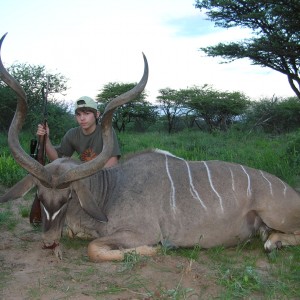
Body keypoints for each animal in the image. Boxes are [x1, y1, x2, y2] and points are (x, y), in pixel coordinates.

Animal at [0, 34, 300, 262]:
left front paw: (159, 248)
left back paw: (272, 243)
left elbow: (95, 248)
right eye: (39, 195)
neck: (109, 190)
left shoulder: (140, 232)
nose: (49, 242)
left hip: (276, 216)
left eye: (68, 197)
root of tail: (291, 192)